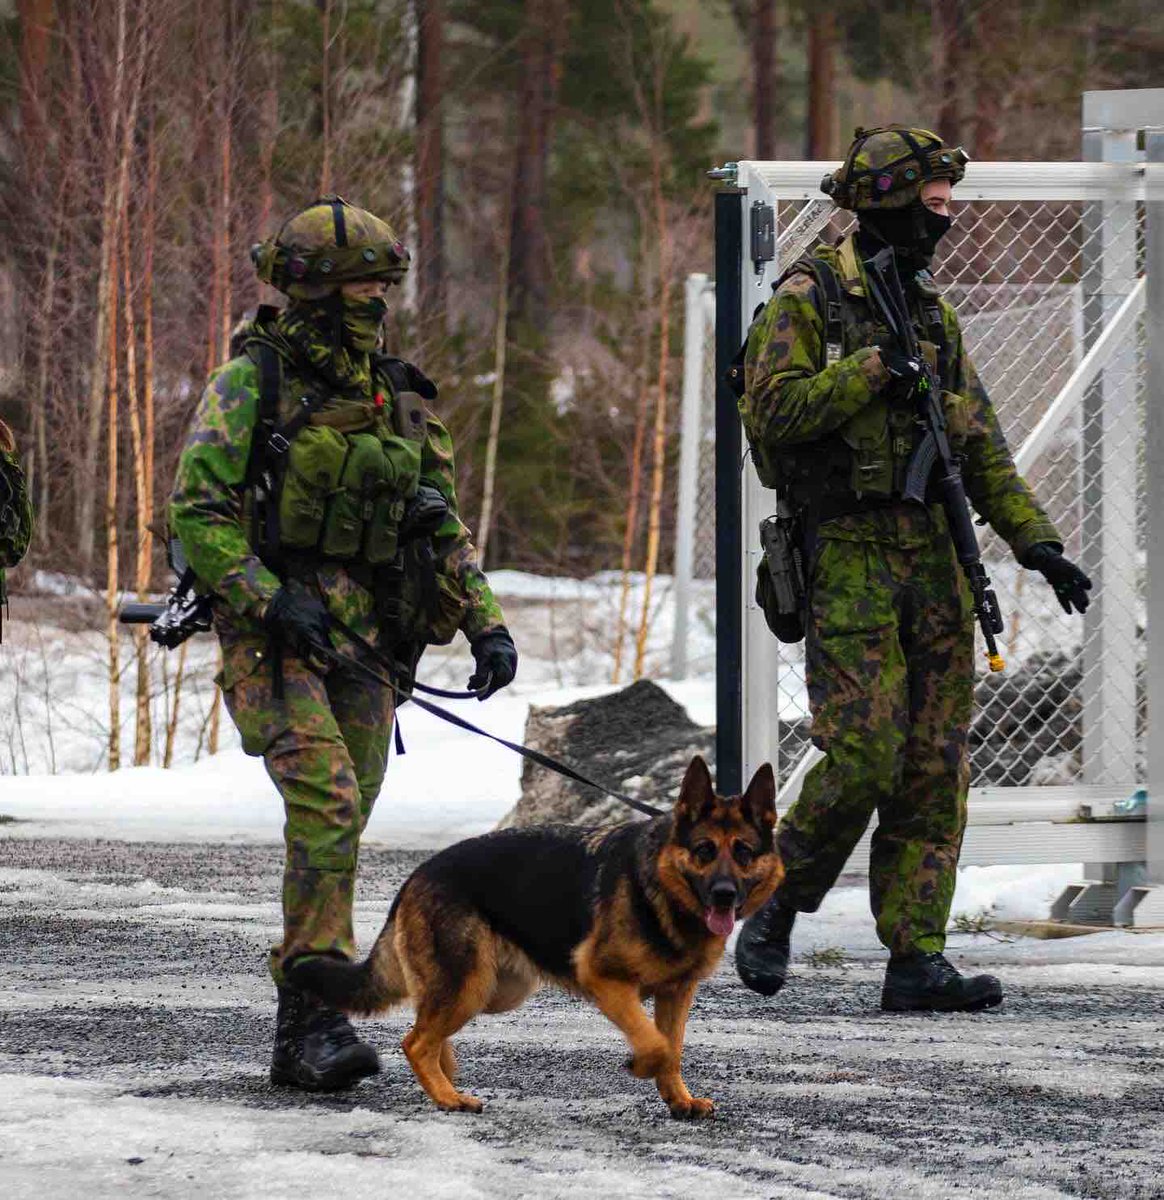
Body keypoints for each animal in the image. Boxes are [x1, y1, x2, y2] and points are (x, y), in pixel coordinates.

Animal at [289, 758, 782, 1113]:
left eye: (743, 852)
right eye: (704, 851)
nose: (724, 895)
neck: (660, 886)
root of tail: (417, 874)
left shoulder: (676, 993)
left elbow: (673, 1048)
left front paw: (678, 1099)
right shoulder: (605, 980)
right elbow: (655, 1043)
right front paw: (641, 1064)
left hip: (492, 989)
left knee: (427, 1030)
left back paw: (446, 1080)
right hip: (471, 984)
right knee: (415, 1042)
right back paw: (447, 1097)